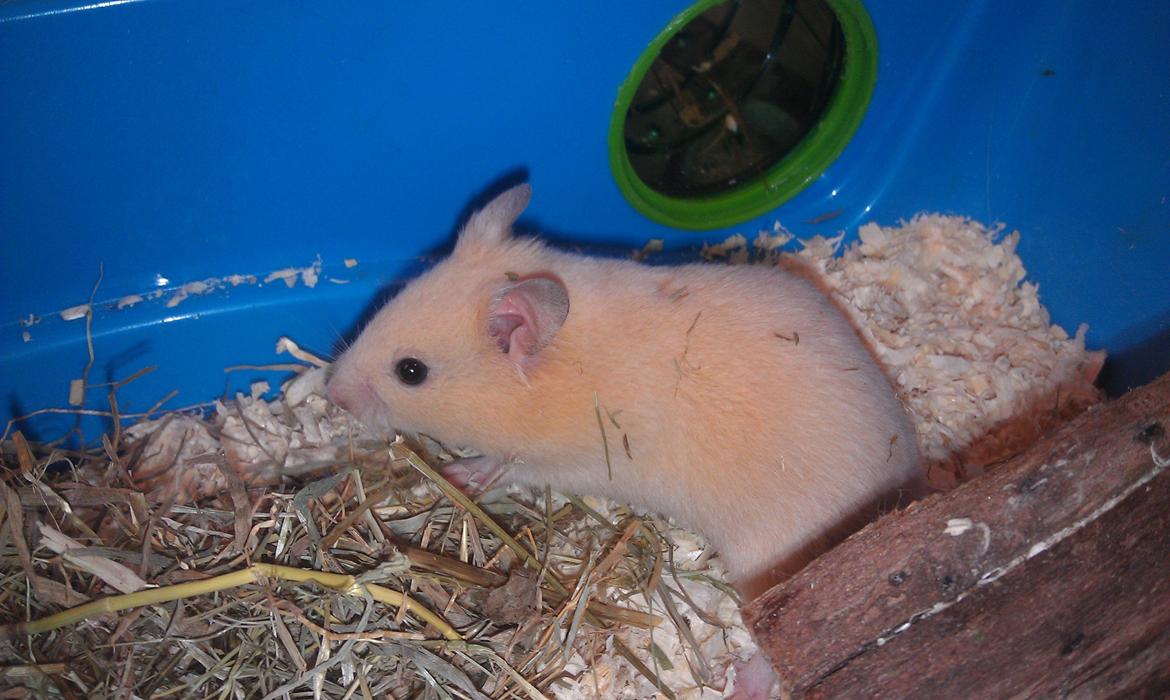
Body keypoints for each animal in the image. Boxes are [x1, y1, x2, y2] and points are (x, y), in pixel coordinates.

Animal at [327, 184, 924, 698]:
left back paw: (741, 685)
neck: (550, 380)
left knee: (784, 630)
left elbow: (500, 464)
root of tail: (907, 491)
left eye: (410, 372)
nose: (335, 394)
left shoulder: (560, 460)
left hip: (776, 554)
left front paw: (455, 475)